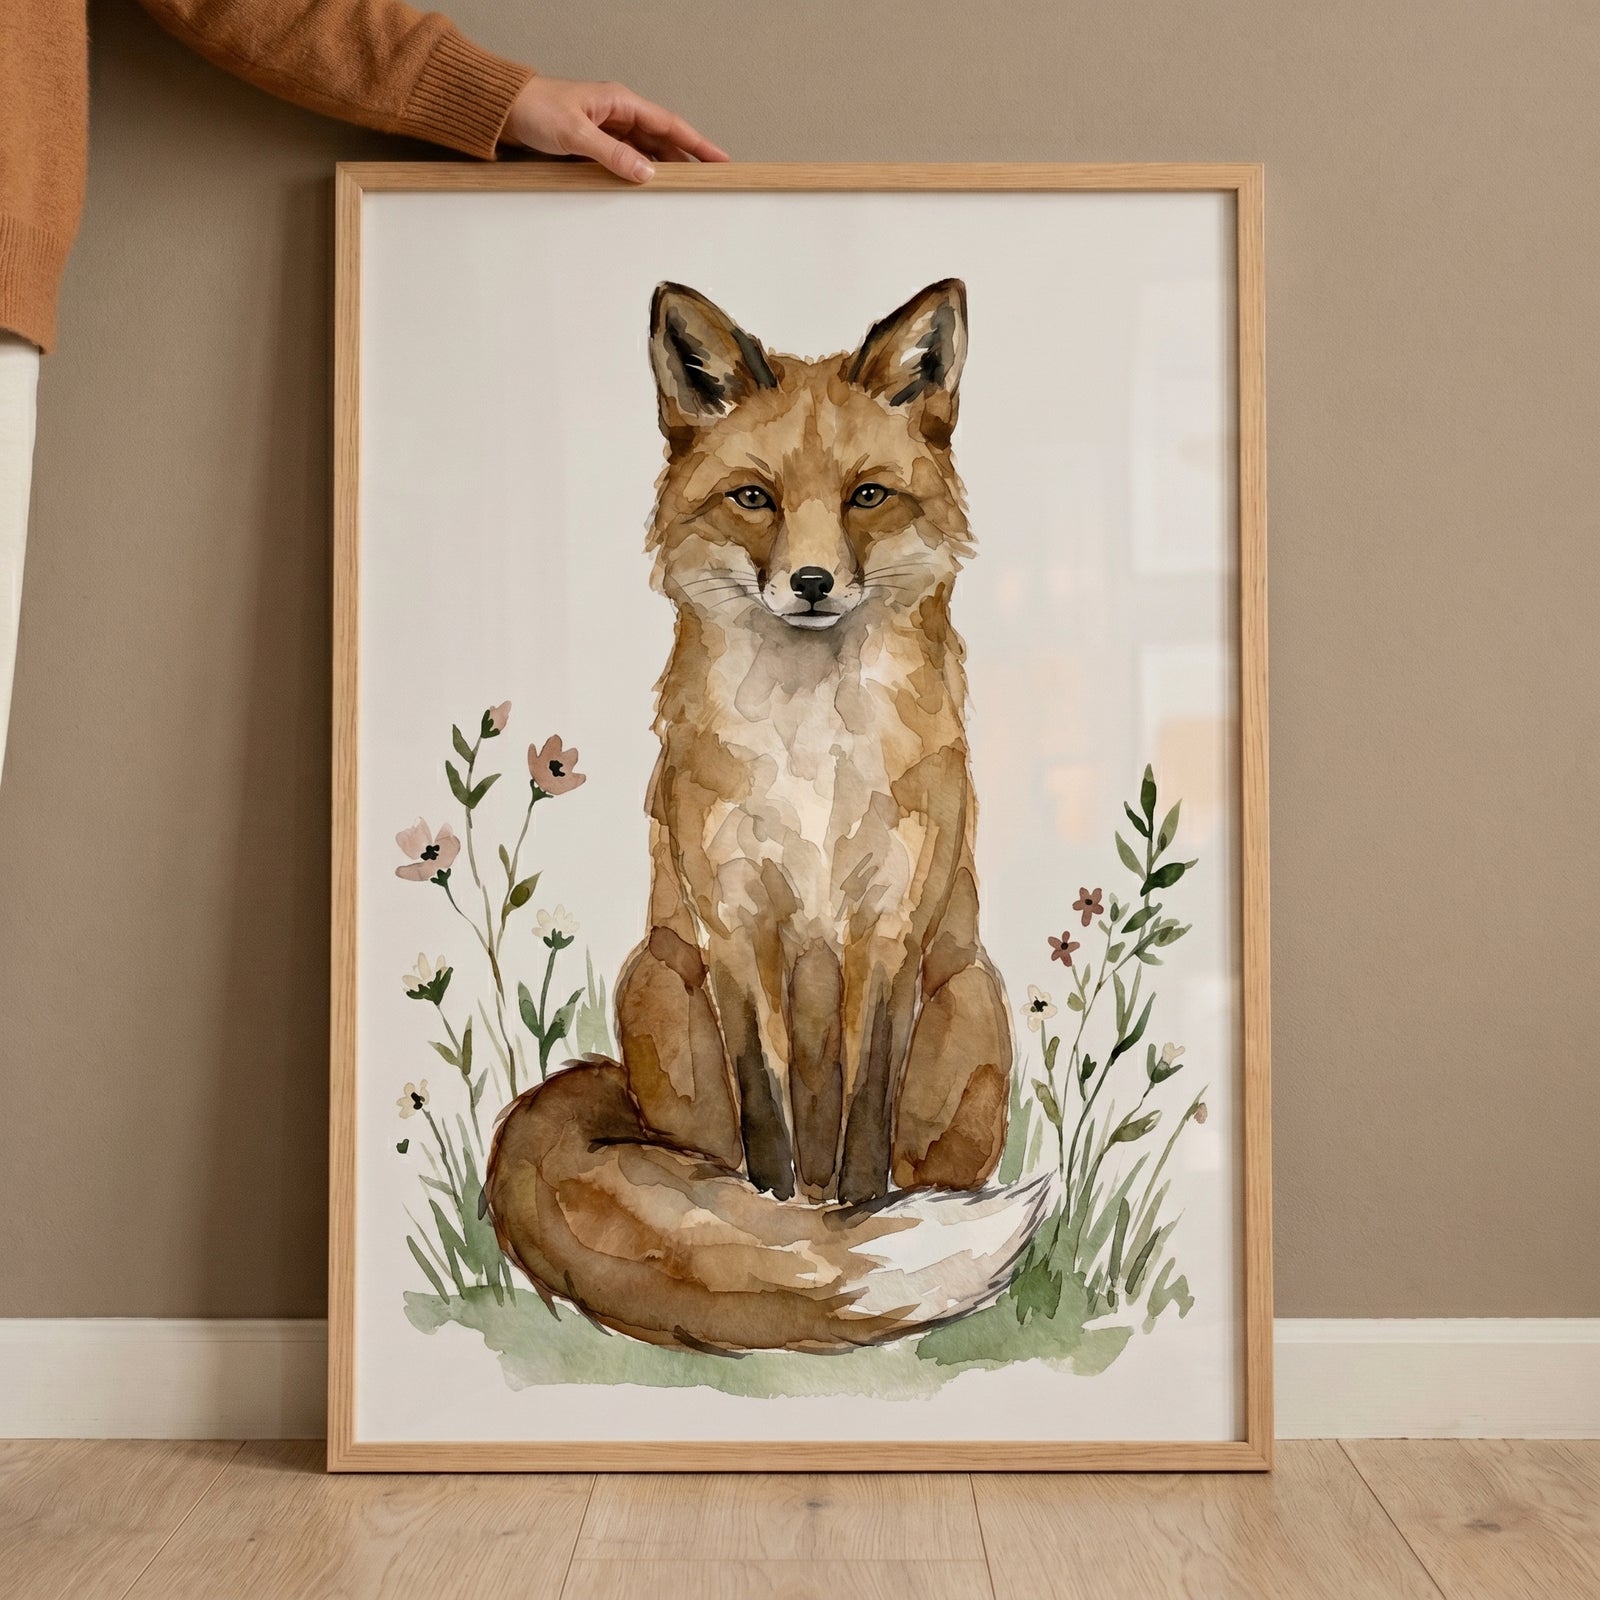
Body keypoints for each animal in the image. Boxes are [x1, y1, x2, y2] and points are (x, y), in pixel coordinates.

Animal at [484, 278, 1051, 1353]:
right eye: (755, 498)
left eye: (867, 495)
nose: (813, 584)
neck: (813, 751)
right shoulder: (737, 929)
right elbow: (768, 1124)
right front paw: (790, 1225)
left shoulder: (889, 929)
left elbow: (862, 1113)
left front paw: (859, 1222)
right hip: (658, 982)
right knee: (706, 1151)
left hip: (970, 999)